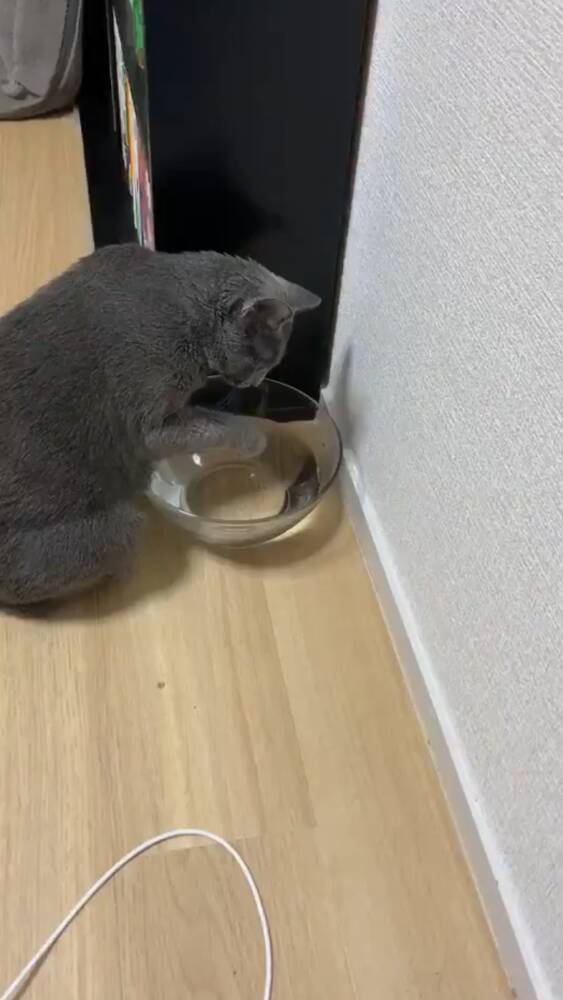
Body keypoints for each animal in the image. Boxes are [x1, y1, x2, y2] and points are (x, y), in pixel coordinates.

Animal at [0, 244, 320, 607]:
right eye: (264, 361)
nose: (255, 383)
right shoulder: (150, 425)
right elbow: (217, 427)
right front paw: (255, 438)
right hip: (116, 529)